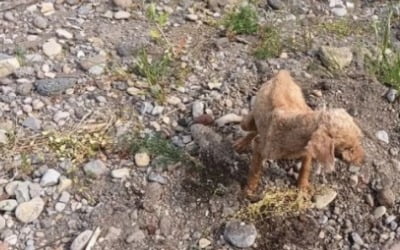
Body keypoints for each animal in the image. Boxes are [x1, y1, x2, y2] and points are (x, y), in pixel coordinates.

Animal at [234, 70, 366, 197]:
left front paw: (302, 186)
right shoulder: (260, 148)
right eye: (349, 149)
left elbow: (305, 168)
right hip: (248, 122)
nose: (363, 160)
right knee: (252, 127)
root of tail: (282, 74)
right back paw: (242, 143)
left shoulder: (308, 150)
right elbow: (255, 171)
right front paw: (249, 189)